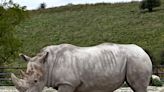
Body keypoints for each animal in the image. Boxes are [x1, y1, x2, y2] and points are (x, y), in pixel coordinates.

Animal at [10, 43, 152, 92]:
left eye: (35, 81)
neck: (47, 63)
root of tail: (144, 51)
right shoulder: (72, 84)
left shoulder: (67, 83)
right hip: (135, 59)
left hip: (137, 59)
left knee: (138, 87)